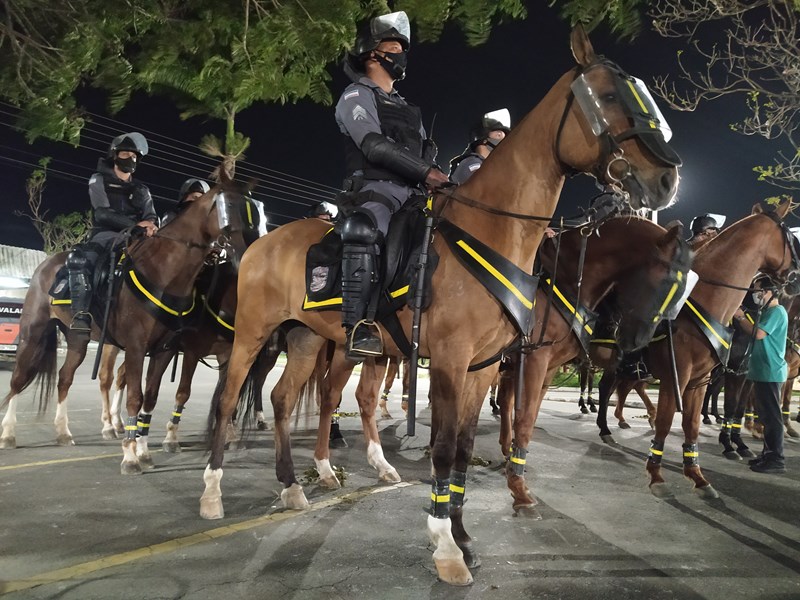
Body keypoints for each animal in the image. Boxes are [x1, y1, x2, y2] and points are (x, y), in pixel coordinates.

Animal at [0, 185, 248, 476]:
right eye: (229, 209)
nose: (243, 249)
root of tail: (47, 265)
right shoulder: (153, 348)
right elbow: (142, 396)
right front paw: (134, 455)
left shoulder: (172, 351)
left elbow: (153, 398)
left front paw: (143, 450)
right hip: (34, 331)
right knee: (21, 377)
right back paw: (10, 433)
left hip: (78, 340)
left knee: (65, 377)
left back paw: (66, 431)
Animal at [494, 217, 688, 516]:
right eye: (666, 281)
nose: (638, 341)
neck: (563, 279)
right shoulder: (536, 359)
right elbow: (525, 418)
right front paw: (519, 488)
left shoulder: (548, 366)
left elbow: (530, 414)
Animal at [644, 199, 800, 500]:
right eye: (792, 237)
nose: (796, 278)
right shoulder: (676, 376)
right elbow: (668, 421)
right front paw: (656, 474)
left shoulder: (704, 379)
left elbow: (695, 423)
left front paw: (698, 474)